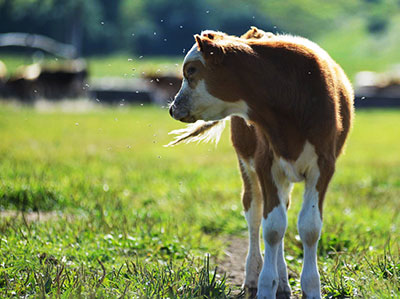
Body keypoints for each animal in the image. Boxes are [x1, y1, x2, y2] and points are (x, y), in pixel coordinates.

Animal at [168, 27, 354, 298]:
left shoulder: (324, 166)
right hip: (248, 166)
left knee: (282, 211)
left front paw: (310, 287)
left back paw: (284, 282)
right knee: (255, 214)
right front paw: (266, 285)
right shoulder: (266, 164)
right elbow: (272, 228)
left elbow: (309, 227)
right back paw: (254, 276)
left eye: (191, 70)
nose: (173, 107)